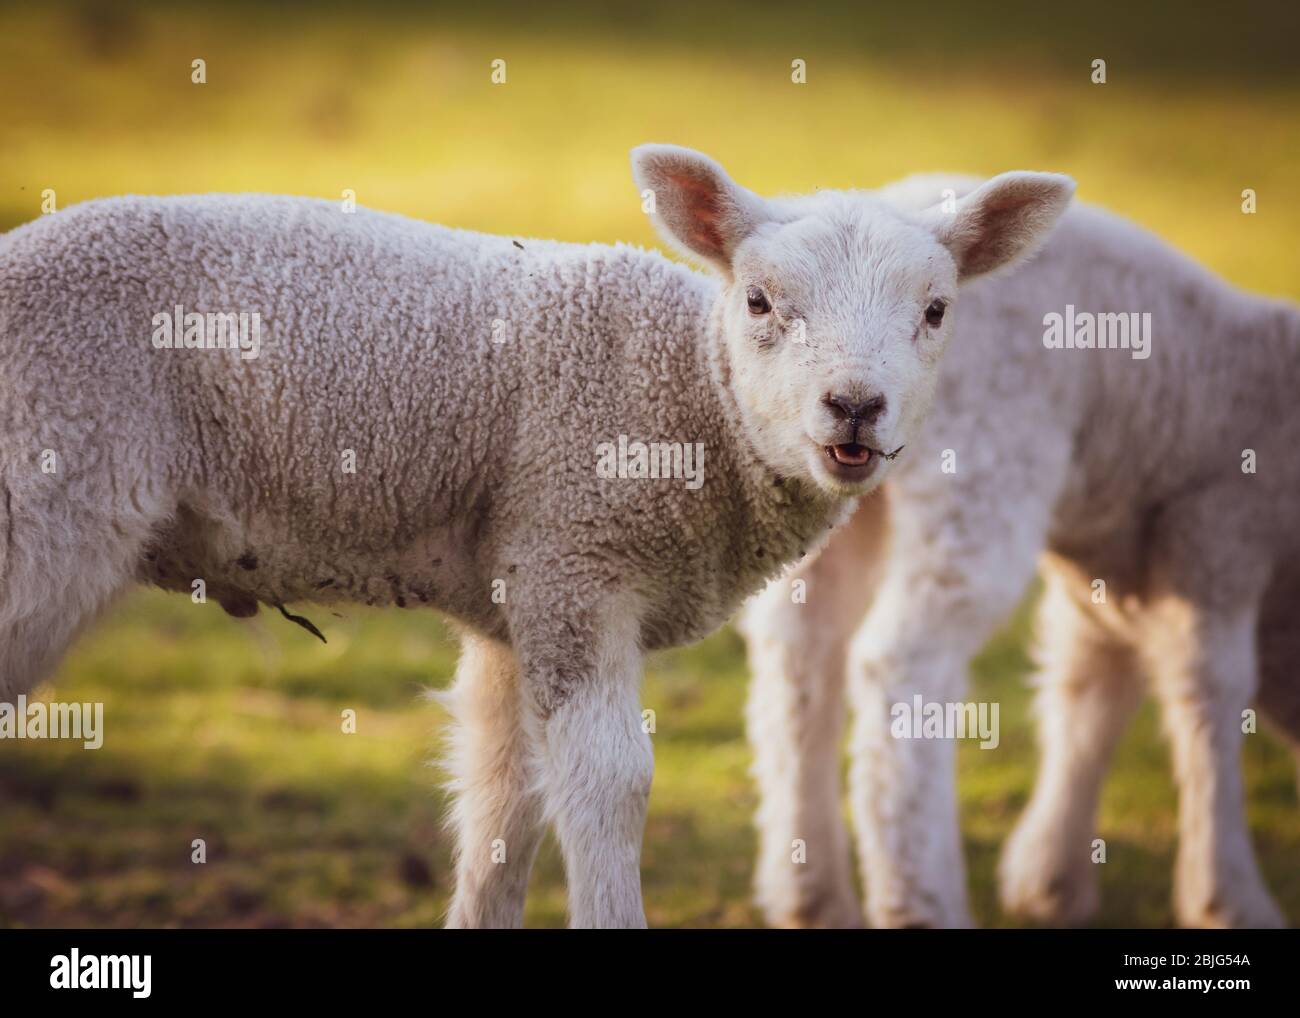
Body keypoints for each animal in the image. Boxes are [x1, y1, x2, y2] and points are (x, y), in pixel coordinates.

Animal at [0, 147, 1071, 925]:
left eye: (936, 311)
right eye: (761, 302)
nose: (854, 408)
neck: (694, 402)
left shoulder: (514, 596)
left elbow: (502, 805)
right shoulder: (575, 557)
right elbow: (610, 785)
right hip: (41, 495)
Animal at [743, 172, 1300, 930]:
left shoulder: (1110, 577)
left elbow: (1089, 691)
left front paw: (1052, 877)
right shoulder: (1216, 526)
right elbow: (1208, 690)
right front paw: (1228, 895)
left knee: (797, 651)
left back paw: (812, 895)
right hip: (982, 468)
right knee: (900, 666)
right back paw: (921, 901)